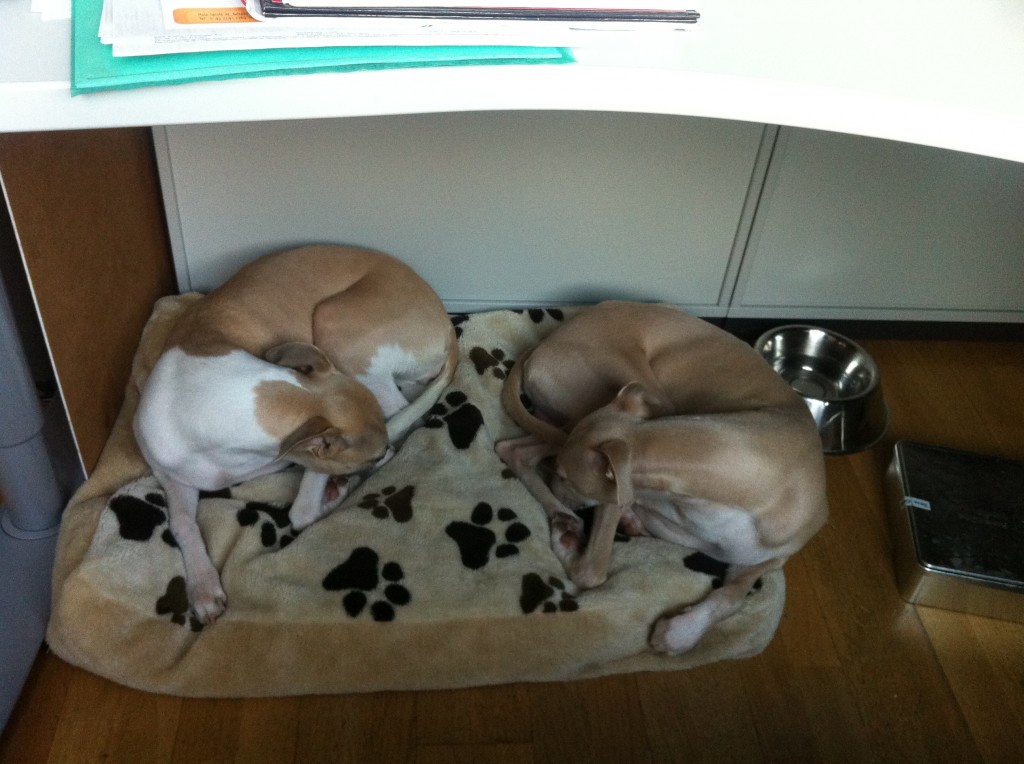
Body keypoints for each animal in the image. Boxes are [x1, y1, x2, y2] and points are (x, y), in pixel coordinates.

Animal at [134, 244, 457, 624]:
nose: (385, 455)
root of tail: (445, 319)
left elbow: (301, 513)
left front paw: (337, 492)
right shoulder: (170, 474)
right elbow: (182, 524)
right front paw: (203, 588)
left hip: (337, 327)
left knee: (409, 412)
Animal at [496, 301, 827, 654]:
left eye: (564, 475)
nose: (559, 489)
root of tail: (546, 342)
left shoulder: (765, 557)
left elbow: (733, 596)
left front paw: (682, 631)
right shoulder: (618, 494)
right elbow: (591, 572)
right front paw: (568, 538)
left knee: (517, 449)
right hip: (605, 397)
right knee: (513, 449)